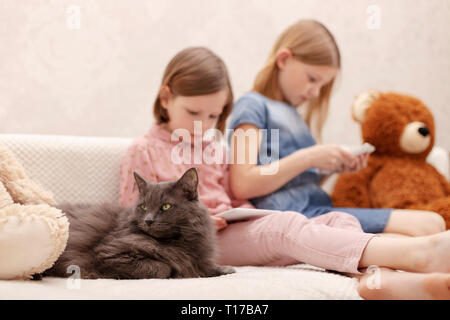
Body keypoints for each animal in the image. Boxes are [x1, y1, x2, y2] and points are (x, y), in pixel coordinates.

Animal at [40, 169, 234, 278]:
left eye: (165, 207)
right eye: (143, 206)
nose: (148, 220)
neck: (176, 242)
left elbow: (206, 267)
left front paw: (224, 270)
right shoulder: (110, 253)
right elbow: (162, 268)